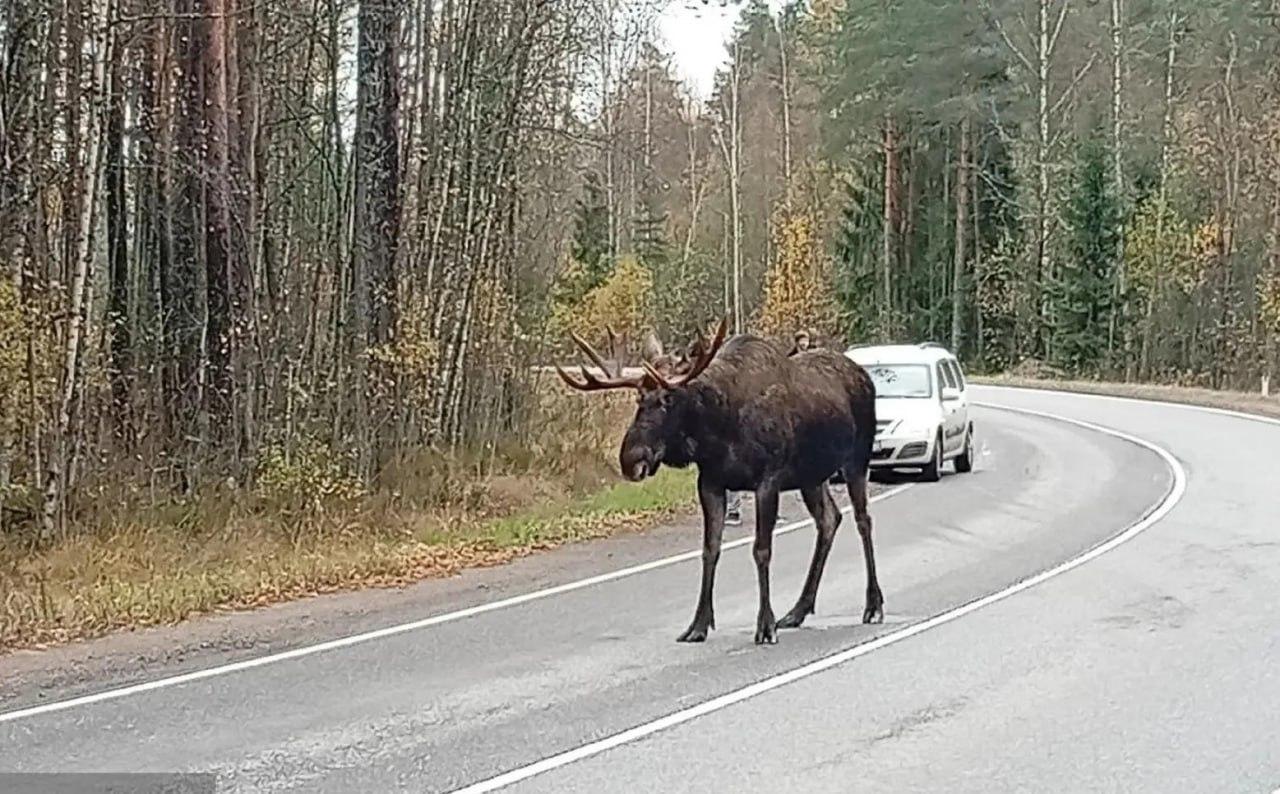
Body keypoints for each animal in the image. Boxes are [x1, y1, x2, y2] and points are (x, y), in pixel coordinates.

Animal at [556, 318, 882, 645]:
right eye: (639, 399)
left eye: (668, 399)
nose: (631, 458)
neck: (718, 429)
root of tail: (865, 376)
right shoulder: (710, 483)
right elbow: (709, 550)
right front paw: (698, 624)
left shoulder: (768, 480)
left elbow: (761, 550)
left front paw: (765, 624)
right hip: (811, 477)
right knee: (830, 519)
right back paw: (798, 610)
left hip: (856, 460)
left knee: (863, 520)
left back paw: (873, 605)